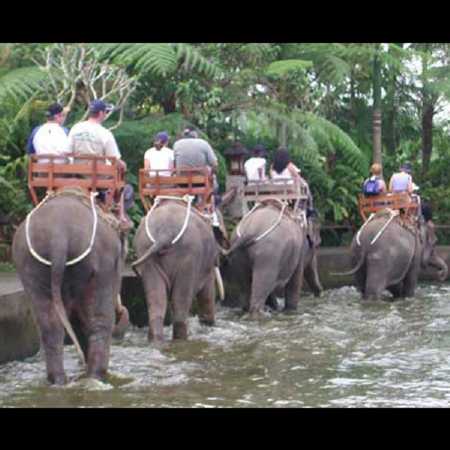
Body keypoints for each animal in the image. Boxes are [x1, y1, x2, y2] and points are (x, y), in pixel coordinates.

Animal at [11, 192, 128, 384]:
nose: (123, 312)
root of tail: (58, 237)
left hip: (30, 267)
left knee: (49, 325)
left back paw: (58, 380)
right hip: (100, 263)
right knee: (99, 320)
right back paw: (96, 376)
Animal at [131, 197, 221, 342]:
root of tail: (164, 234)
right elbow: (207, 293)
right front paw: (208, 324)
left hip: (145, 251)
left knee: (157, 302)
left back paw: (156, 341)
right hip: (189, 256)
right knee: (181, 303)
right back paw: (181, 339)